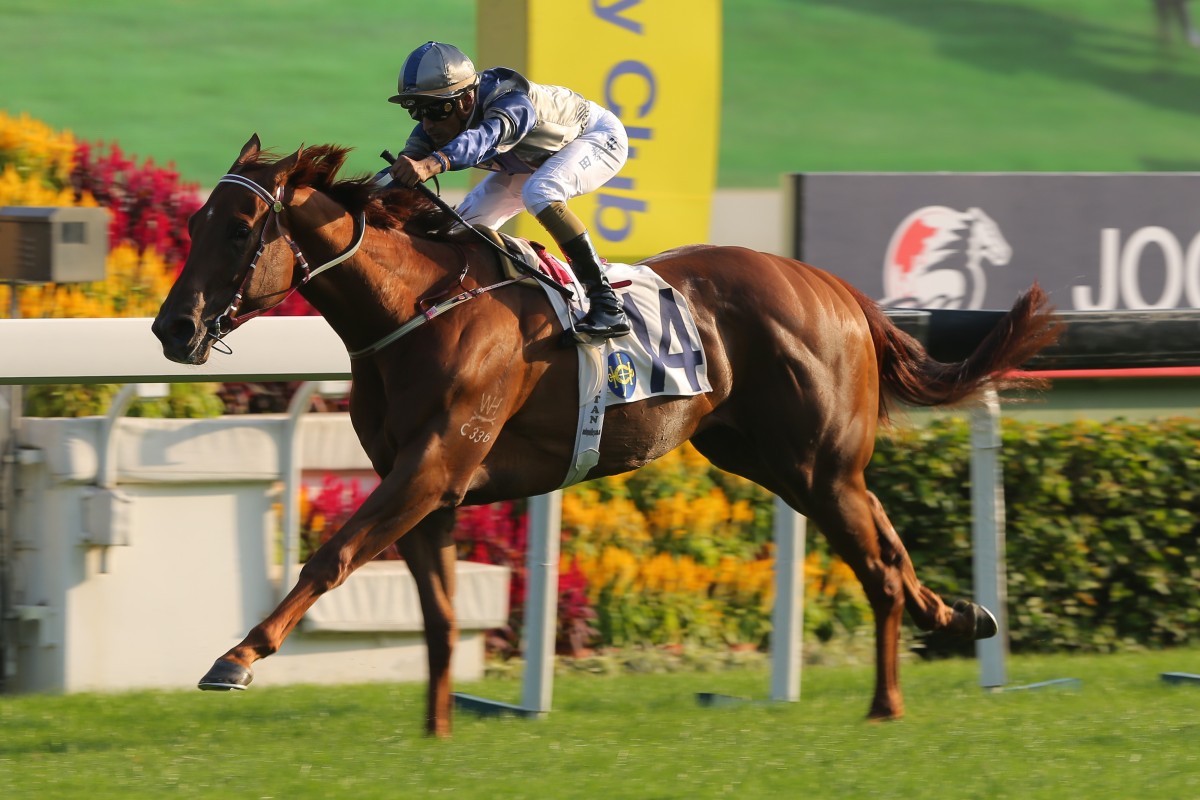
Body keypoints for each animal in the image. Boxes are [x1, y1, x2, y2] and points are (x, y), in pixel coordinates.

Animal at [152, 134, 1060, 734]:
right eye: (194, 224)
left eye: (240, 230)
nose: (172, 327)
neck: (416, 308)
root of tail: (837, 289)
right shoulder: (429, 493)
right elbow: (439, 616)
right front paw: (438, 730)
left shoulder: (434, 466)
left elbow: (333, 555)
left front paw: (237, 657)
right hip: (778, 463)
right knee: (887, 558)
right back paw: (956, 624)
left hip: (823, 465)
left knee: (880, 565)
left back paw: (890, 698)